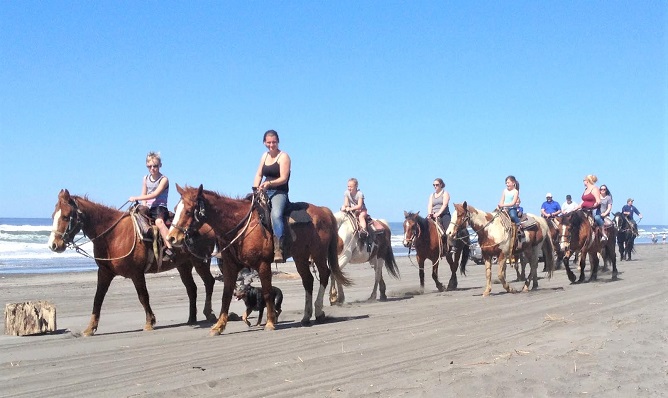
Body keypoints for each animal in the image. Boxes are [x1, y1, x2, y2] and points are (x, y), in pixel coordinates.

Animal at [49, 190, 217, 336]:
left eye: (66, 217)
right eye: (53, 216)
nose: (53, 245)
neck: (113, 235)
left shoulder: (136, 273)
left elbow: (143, 296)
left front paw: (149, 322)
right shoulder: (104, 272)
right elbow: (98, 299)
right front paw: (90, 328)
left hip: (200, 262)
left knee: (209, 282)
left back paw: (209, 314)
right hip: (184, 265)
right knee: (192, 289)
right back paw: (191, 319)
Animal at [166, 185, 350, 334]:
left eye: (188, 210)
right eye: (175, 208)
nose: (171, 238)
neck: (240, 227)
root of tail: (324, 210)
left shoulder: (262, 264)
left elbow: (267, 292)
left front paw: (270, 322)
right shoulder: (230, 267)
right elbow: (226, 295)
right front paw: (218, 326)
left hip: (318, 254)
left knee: (324, 275)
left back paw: (318, 312)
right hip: (301, 257)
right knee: (308, 281)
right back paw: (306, 316)